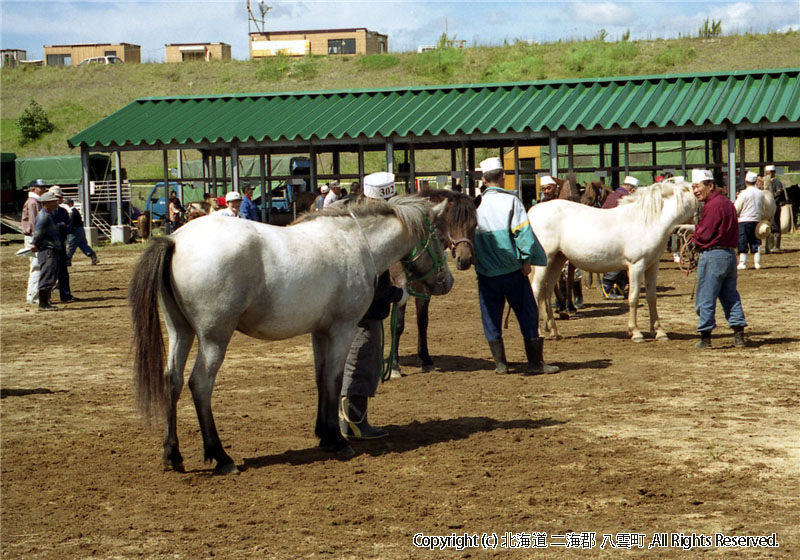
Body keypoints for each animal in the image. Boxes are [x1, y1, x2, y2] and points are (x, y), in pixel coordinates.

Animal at [132, 197, 456, 472]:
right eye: (440, 239)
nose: (447, 282)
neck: (355, 242)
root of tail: (174, 239)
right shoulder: (342, 329)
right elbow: (335, 378)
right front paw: (338, 441)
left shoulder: (320, 332)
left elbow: (320, 378)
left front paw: (324, 434)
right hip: (214, 339)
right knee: (199, 384)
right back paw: (221, 457)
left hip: (180, 331)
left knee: (172, 380)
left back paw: (172, 454)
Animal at [532, 182, 692, 344]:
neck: (646, 221)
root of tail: (532, 214)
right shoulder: (636, 266)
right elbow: (633, 298)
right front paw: (636, 333)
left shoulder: (652, 266)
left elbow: (652, 297)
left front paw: (659, 332)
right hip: (545, 262)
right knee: (536, 290)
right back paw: (537, 333)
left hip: (557, 261)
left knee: (547, 292)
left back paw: (555, 332)